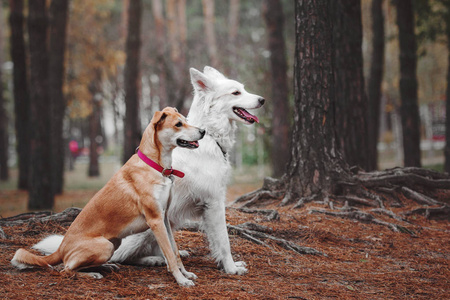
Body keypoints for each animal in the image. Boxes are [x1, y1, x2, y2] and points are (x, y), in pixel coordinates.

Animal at [12, 107, 206, 286]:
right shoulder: (155, 220)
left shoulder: (164, 217)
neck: (156, 165)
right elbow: (170, 255)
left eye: (185, 120)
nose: (203, 131)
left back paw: (105, 267)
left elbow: (175, 251)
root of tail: (60, 248)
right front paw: (181, 280)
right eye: (178, 124)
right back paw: (92, 274)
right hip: (104, 246)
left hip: (115, 243)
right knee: (66, 269)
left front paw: (185, 274)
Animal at [36, 67, 268, 276]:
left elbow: (215, 241)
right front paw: (231, 268)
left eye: (243, 89)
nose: (263, 100)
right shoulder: (214, 202)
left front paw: (226, 264)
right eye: (236, 93)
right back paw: (153, 260)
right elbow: (224, 240)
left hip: (167, 221)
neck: (210, 135)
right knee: (122, 256)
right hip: (142, 229)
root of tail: (66, 245)